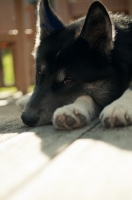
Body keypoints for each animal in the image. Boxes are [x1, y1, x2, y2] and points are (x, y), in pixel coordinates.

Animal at [20, 0, 132, 130]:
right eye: (39, 72)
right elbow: (88, 95)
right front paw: (73, 108)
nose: (26, 118)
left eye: (68, 80)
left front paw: (119, 105)